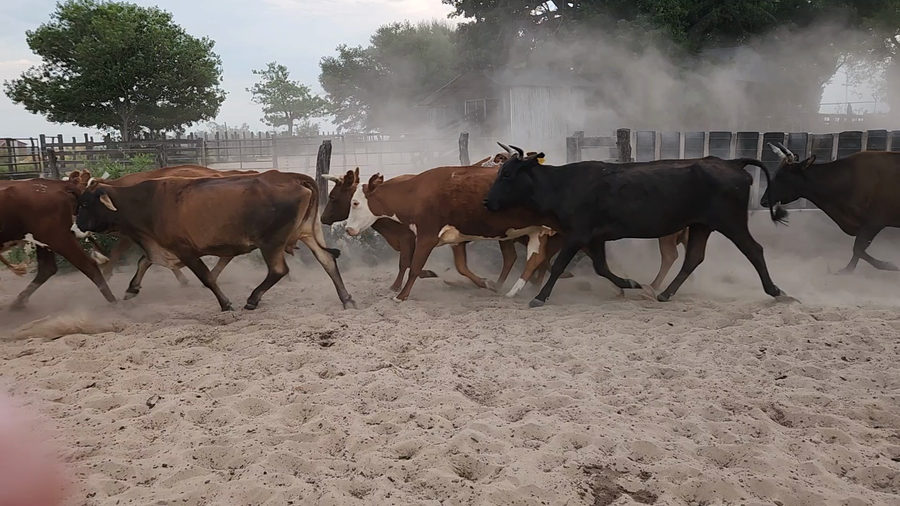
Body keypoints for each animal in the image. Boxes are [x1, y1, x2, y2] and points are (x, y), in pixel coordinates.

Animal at [0, 178, 117, 308]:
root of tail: (62, 185)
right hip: (45, 241)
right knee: (47, 268)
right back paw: (19, 301)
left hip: (58, 238)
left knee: (88, 265)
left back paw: (114, 301)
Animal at [74, 170, 355, 312]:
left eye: (86, 204)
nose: (75, 227)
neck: (146, 201)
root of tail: (293, 177)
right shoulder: (161, 248)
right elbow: (144, 261)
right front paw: (132, 289)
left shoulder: (185, 249)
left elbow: (207, 277)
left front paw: (225, 304)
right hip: (308, 232)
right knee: (327, 260)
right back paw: (346, 298)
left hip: (271, 242)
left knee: (278, 270)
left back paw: (253, 299)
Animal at [344, 165, 560, 302]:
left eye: (355, 203)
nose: (348, 229)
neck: (415, 193)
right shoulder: (455, 240)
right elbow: (461, 267)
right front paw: (487, 283)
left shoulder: (427, 236)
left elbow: (415, 266)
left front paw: (401, 296)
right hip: (537, 230)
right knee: (535, 258)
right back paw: (512, 291)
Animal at [483, 143, 796, 308]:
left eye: (508, 175)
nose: (486, 201)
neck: (562, 185)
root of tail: (733, 163)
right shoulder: (594, 238)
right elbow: (601, 267)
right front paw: (632, 283)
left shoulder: (577, 234)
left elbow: (560, 265)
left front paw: (540, 297)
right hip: (700, 225)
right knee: (694, 257)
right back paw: (665, 293)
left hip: (731, 221)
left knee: (754, 250)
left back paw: (776, 291)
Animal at [760, 142, 900, 275]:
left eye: (780, 175)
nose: (763, 200)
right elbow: (858, 249)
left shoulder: (873, 224)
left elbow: (858, 248)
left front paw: (889, 266)